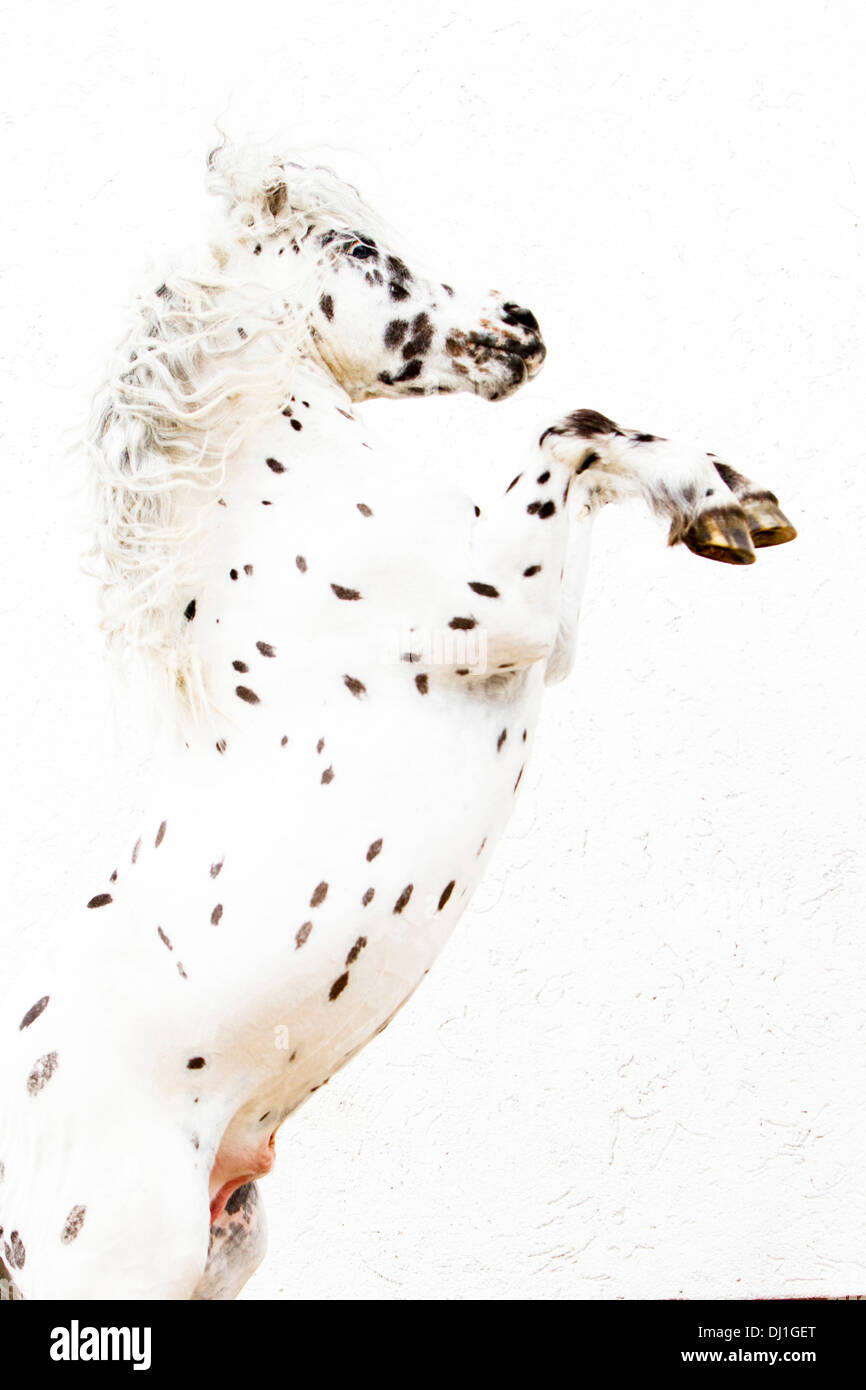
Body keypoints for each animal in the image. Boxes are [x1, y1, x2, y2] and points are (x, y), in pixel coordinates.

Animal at [0, 143, 796, 1300]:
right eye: (359, 248)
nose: (523, 322)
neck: (270, 505)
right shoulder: (510, 609)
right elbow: (572, 429)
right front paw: (715, 498)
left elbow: (597, 434)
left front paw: (727, 501)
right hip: (114, 1269)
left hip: (221, 1256)